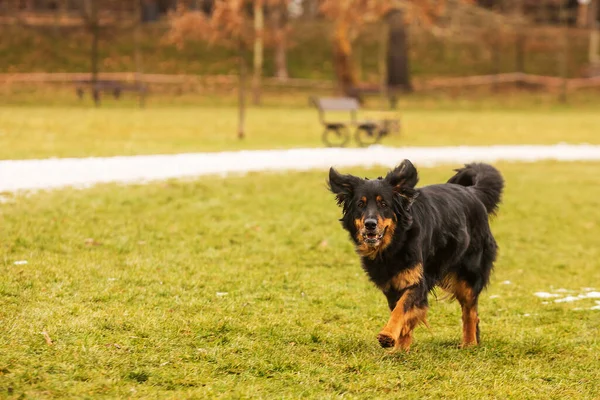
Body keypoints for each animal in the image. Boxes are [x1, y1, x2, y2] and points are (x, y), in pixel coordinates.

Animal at [326, 159, 504, 350]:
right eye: (360, 204)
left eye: (384, 204)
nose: (370, 224)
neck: (394, 244)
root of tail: (473, 192)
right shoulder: (392, 285)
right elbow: (403, 314)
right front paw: (400, 348)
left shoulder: (417, 280)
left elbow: (401, 309)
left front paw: (388, 335)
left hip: (469, 274)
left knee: (470, 312)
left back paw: (469, 343)